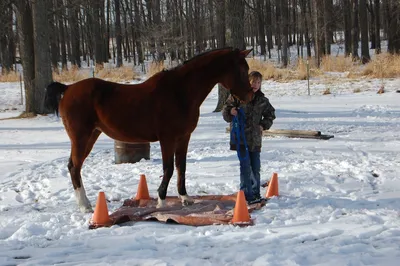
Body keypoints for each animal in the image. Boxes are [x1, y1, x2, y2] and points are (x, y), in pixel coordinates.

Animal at [43, 47, 253, 213]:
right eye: (242, 70)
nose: (250, 96)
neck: (180, 93)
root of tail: (68, 89)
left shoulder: (184, 138)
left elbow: (181, 167)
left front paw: (185, 198)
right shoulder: (167, 139)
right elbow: (168, 168)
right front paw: (161, 201)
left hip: (91, 135)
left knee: (75, 166)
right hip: (81, 137)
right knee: (74, 167)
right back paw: (85, 205)